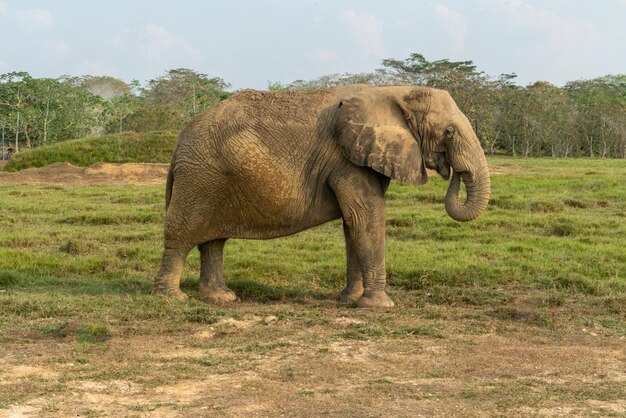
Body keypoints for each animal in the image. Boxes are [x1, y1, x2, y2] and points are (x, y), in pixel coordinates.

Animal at [151, 85, 488, 306]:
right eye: (449, 133)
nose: (452, 171)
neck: (395, 91)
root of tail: (179, 142)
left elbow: (354, 223)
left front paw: (349, 299)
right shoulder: (346, 160)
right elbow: (366, 216)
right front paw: (378, 306)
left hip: (210, 180)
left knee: (214, 241)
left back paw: (220, 297)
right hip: (199, 179)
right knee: (181, 236)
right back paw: (172, 299)